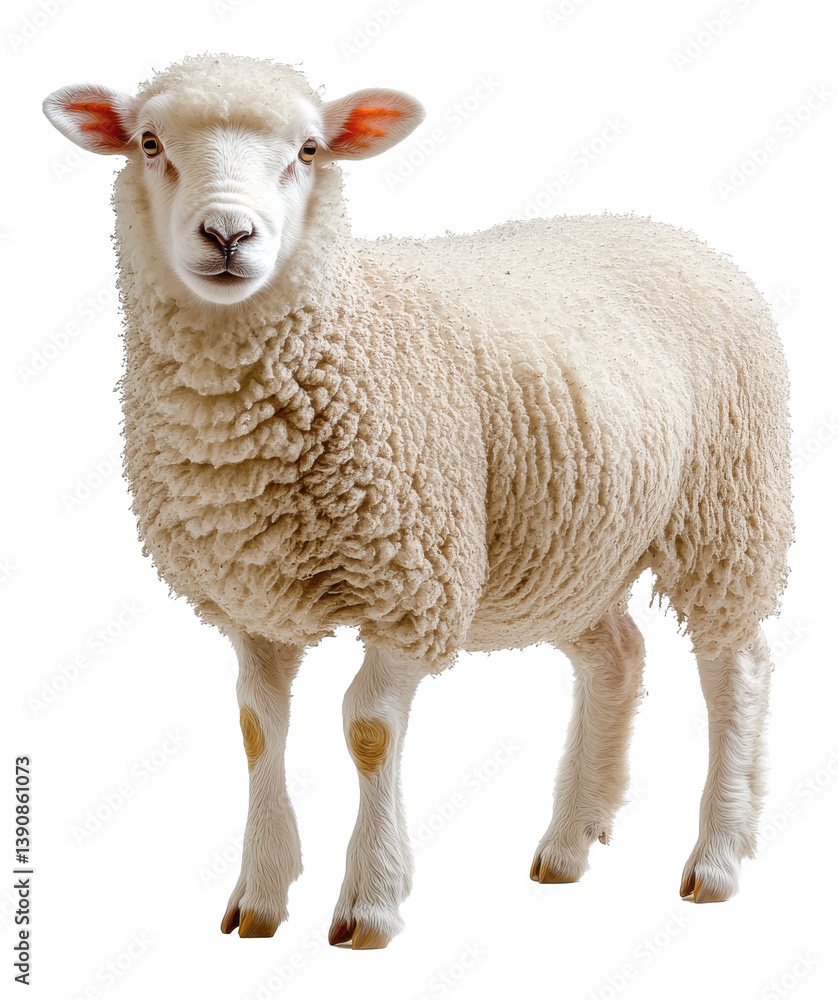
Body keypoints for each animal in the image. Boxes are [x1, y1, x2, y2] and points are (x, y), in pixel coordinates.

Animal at [43, 53, 793, 949]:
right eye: (150, 143)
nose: (228, 236)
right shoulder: (249, 595)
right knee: (617, 656)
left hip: (729, 506)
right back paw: (569, 843)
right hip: (572, 546)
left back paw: (716, 857)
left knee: (735, 669)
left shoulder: (412, 582)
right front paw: (260, 897)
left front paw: (370, 902)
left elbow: (369, 729)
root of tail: (669, 231)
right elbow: (258, 726)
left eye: (308, 149)